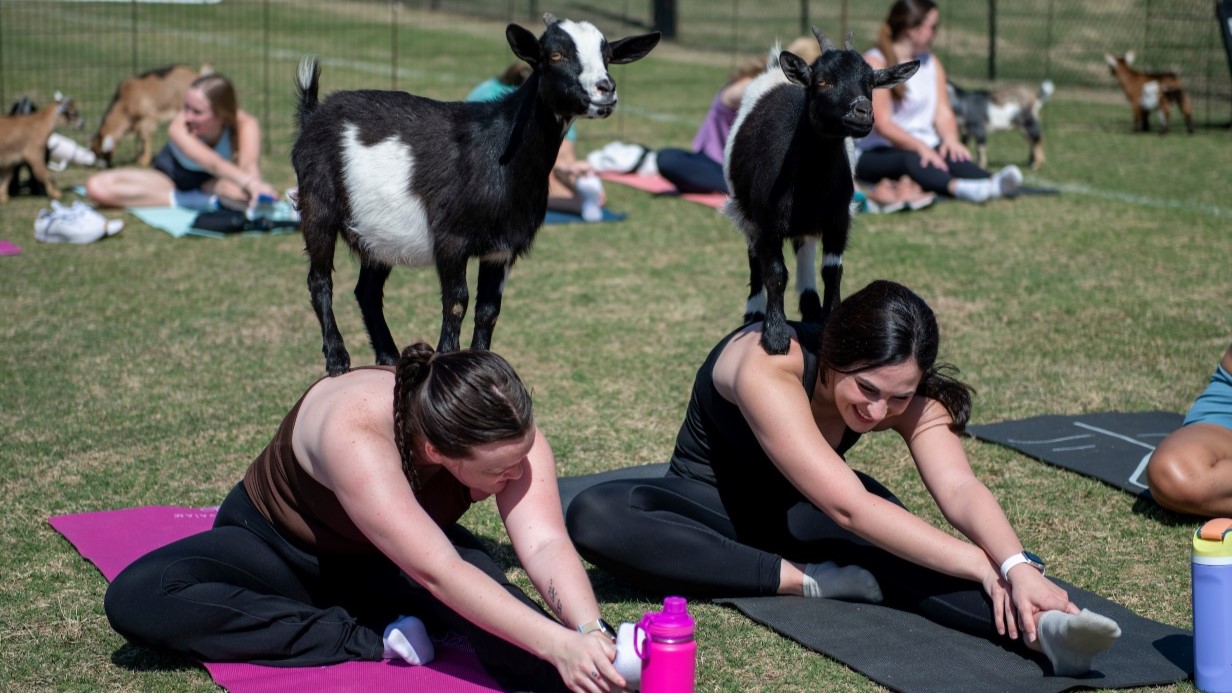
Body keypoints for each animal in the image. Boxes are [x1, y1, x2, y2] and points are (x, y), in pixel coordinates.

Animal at [293, 14, 660, 372]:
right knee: (319, 280)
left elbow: (488, 311)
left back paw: (388, 357)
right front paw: (444, 362)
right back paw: (337, 360)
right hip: (317, 203)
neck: (500, 151)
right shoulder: (451, 240)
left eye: (608, 56)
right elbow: (457, 303)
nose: (606, 89)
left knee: (367, 291)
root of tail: (313, 114)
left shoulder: (502, 249)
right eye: (555, 55)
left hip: (376, 233)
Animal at [724, 28, 921, 352]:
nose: (862, 112)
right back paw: (754, 312)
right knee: (755, 258)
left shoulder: (838, 219)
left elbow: (832, 271)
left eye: (871, 83)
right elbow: (775, 272)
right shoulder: (766, 222)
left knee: (804, 248)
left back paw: (811, 306)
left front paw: (828, 325)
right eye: (823, 81)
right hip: (745, 212)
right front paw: (775, 336)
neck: (809, 184)